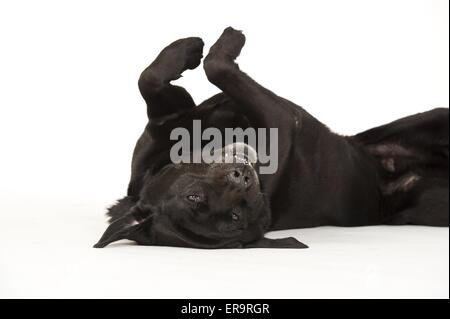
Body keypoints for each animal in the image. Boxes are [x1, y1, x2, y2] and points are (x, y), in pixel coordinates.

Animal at [93, 26, 448, 250]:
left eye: (194, 196)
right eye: (235, 217)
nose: (242, 178)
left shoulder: (163, 122)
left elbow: (149, 79)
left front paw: (187, 49)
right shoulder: (284, 121)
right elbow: (216, 66)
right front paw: (225, 43)